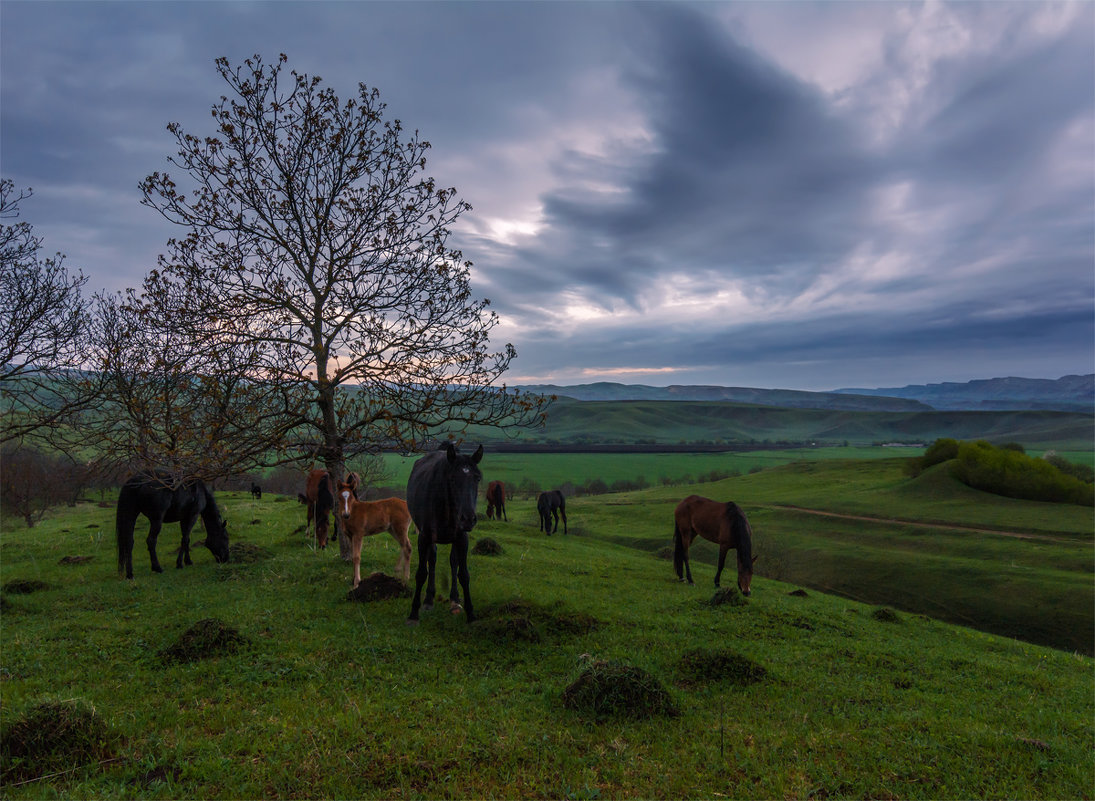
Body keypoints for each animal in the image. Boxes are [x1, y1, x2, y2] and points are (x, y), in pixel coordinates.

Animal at [407, 444, 483, 625]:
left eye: (477, 478)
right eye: (453, 479)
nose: (468, 518)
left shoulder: (462, 538)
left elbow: (464, 574)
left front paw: (471, 614)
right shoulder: (424, 537)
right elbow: (422, 573)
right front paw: (413, 613)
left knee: (453, 561)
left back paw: (454, 600)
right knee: (432, 559)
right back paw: (428, 599)